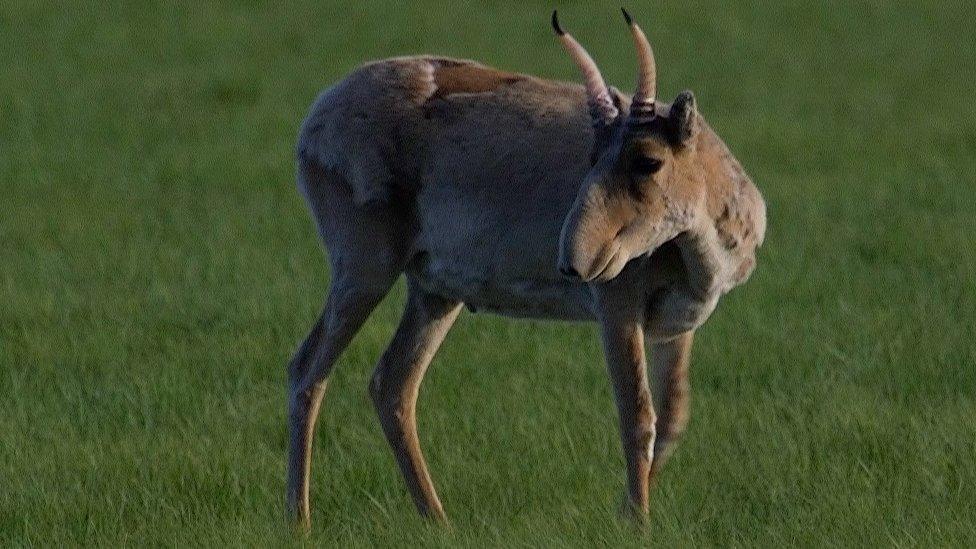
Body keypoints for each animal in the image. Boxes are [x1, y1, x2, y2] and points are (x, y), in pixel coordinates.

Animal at [286, 10, 768, 528]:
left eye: (648, 160)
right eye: (591, 156)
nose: (572, 261)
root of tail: (320, 112)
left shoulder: (678, 325)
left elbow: (673, 414)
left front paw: (626, 511)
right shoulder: (618, 309)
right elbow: (638, 416)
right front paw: (637, 523)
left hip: (435, 294)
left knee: (392, 385)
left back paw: (438, 519)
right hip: (364, 272)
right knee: (308, 369)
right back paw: (300, 520)